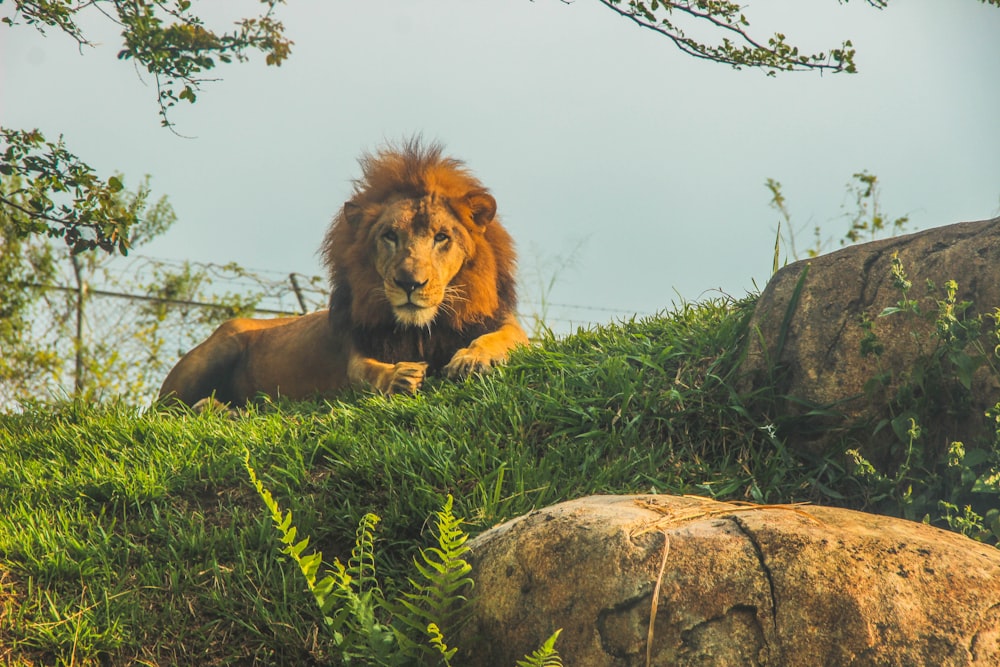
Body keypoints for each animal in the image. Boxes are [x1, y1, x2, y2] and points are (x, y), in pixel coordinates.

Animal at [155, 141, 528, 408]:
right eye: (389, 236)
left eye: (441, 237)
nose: (409, 283)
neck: (422, 330)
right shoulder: (354, 349)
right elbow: (365, 372)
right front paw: (402, 377)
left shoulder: (505, 325)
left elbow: (501, 339)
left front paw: (471, 360)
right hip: (218, 348)